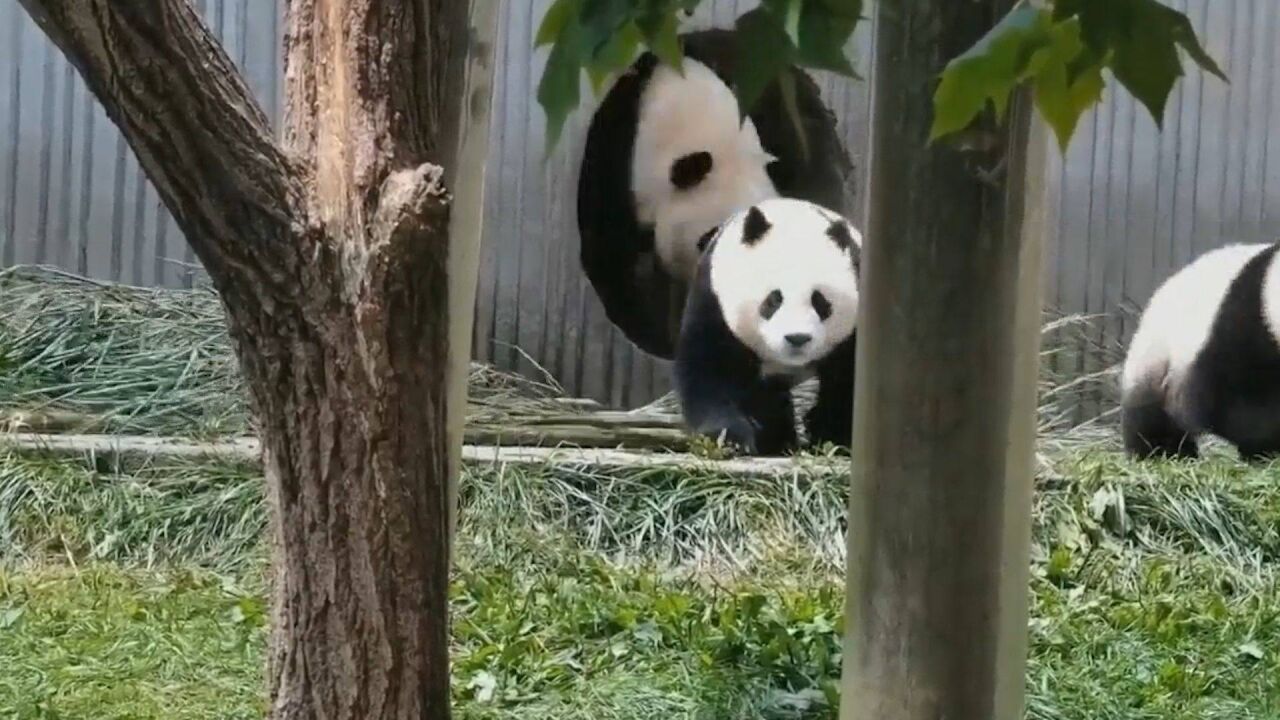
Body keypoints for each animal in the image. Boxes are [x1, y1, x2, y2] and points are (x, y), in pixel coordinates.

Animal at [675, 196, 865, 453]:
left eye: (820, 301)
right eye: (774, 299)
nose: (797, 338)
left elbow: (847, 380)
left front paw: (833, 436)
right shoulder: (713, 296)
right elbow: (710, 370)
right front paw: (728, 438)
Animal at [1116, 240, 1280, 458]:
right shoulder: (1242, 324)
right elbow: (1236, 406)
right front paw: (1266, 447)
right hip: (1156, 357)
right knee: (1150, 418)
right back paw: (1163, 452)